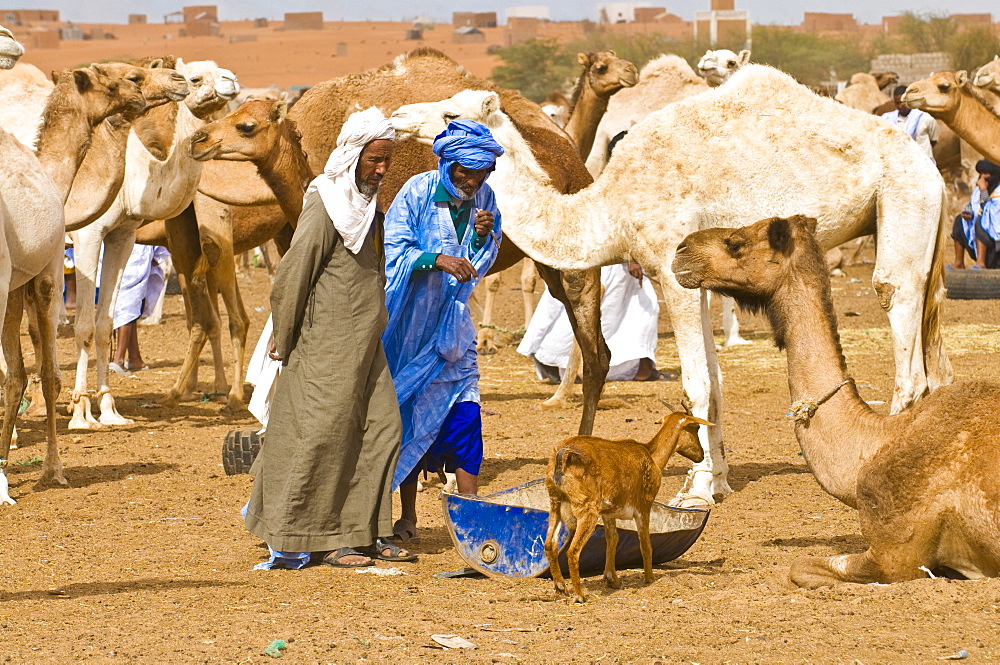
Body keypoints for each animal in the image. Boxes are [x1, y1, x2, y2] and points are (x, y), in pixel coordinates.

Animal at [66, 59, 240, 428]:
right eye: (195, 78)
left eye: (219, 67)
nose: (231, 80)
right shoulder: (88, 234)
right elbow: (84, 325)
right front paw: (80, 414)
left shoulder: (122, 233)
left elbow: (105, 322)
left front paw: (109, 411)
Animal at [390, 67, 952, 504]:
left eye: (450, 115)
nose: (396, 117)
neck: (609, 207)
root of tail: (935, 172)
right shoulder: (691, 273)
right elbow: (716, 383)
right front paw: (717, 480)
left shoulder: (668, 264)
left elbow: (695, 383)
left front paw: (696, 490)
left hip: (905, 202)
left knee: (899, 323)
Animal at [548, 412, 712, 600]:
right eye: (696, 428)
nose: (700, 455)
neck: (651, 456)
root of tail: (564, 455)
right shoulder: (644, 507)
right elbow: (645, 544)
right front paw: (650, 578)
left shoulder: (608, 513)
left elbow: (613, 539)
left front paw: (612, 579)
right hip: (587, 509)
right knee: (573, 551)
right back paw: (580, 595)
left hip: (555, 504)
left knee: (549, 545)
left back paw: (561, 587)